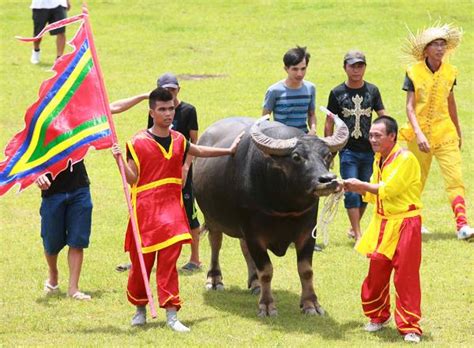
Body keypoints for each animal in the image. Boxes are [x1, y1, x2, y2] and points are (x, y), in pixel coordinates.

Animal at [193, 116, 348, 316]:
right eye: (296, 157)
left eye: (327, 155)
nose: (328, 180)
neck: (285, 205)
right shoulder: (254, 235)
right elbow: (266, 270)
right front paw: (267, 305)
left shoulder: (307, 233)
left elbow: (306, 270)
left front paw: (311, 304)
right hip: (212, 218)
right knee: (215, 244)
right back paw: (214, 279)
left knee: (243, 248)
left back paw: (254, 282)